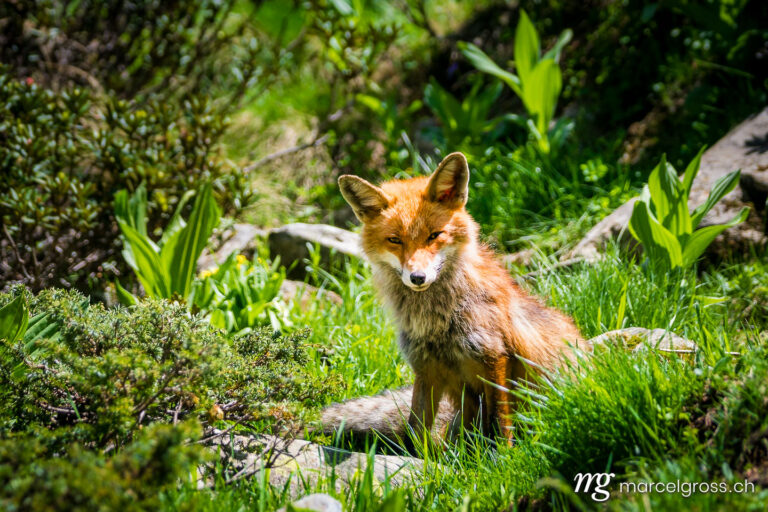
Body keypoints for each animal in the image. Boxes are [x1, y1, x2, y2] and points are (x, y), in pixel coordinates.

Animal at [322, 153, 584, 444]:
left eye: (434, 235)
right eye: (395, 240)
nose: (417, 277)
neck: (438, 321)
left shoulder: (494, 357)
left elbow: (501, 423)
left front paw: (506, 454)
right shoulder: (425, 368)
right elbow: (416, 431)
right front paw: (417, 456)